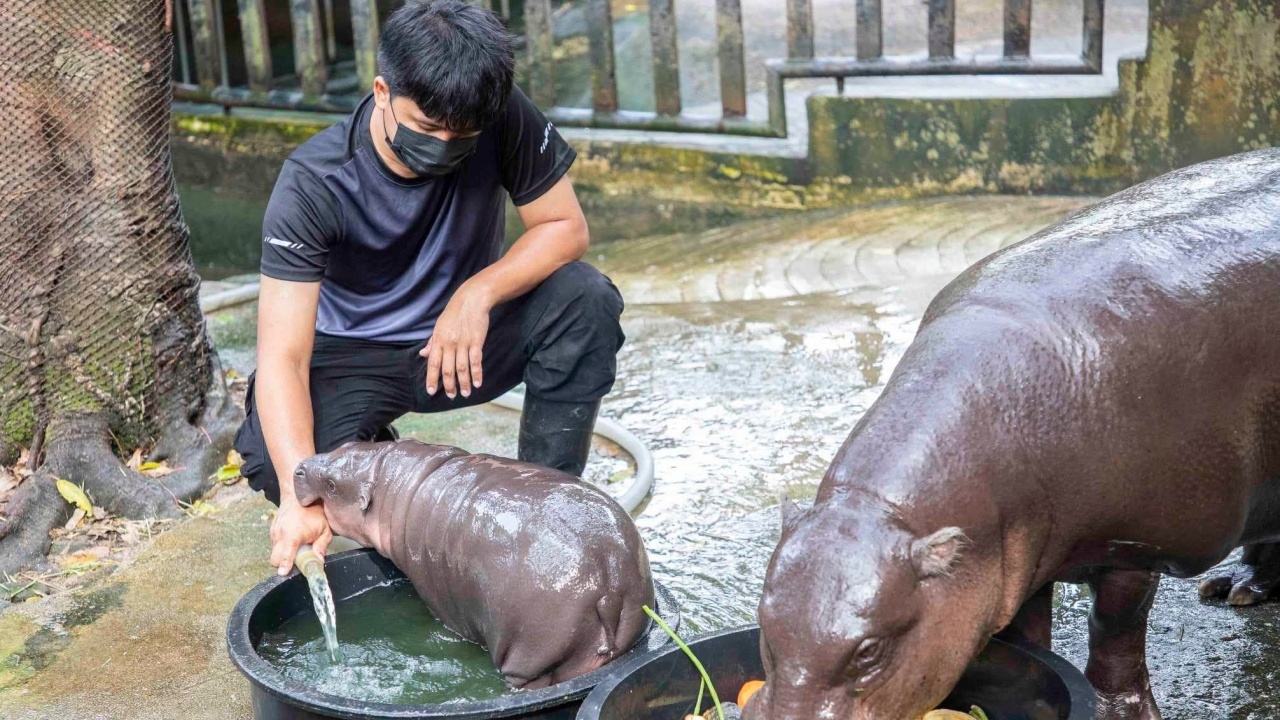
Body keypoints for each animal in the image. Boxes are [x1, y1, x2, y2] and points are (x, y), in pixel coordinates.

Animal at [290, 435, 650, 686]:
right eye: (347, 444)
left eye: (332, 485)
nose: (299, 467)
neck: (397, 481)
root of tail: (611, 574)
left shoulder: (437, 597)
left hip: (530, 656)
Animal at [747, 148, 1280, 717]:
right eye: (765, 622)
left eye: (869, 650)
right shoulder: (1015, 555)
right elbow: (1026, 631)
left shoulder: (1137, 546)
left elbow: (1114, 627)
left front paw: (1116, 708)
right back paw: (1236, 588)